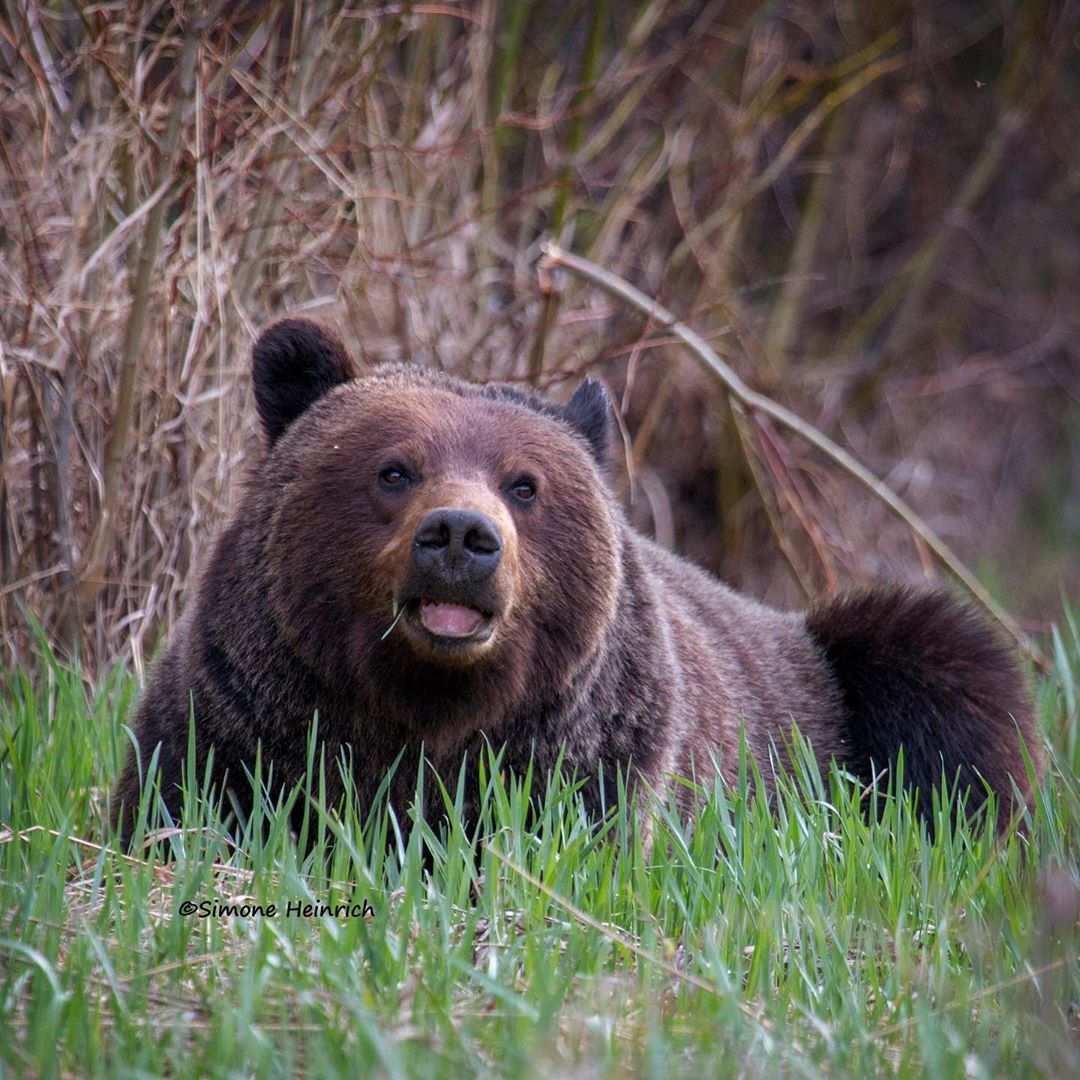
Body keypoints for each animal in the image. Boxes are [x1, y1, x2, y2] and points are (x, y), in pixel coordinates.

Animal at [111, 315, 1045, 846]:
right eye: (394, 469)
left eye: (525, 485)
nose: (462, 537)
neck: (424, 712)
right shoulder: (236, 729)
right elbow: (179, 817)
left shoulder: (584, 766)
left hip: (839, 683)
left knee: (950, 673)